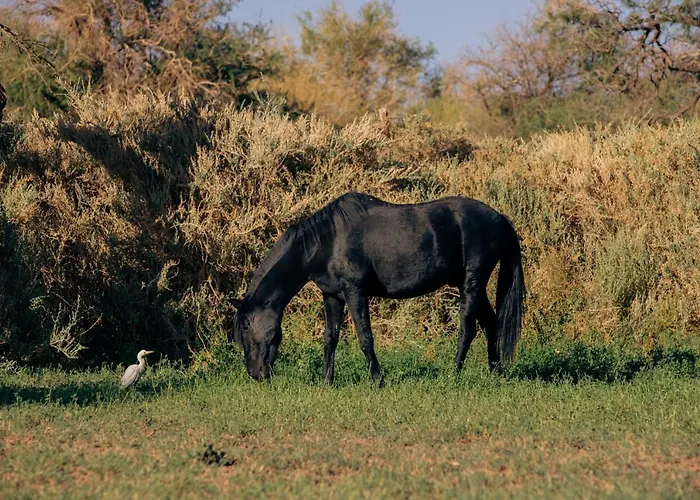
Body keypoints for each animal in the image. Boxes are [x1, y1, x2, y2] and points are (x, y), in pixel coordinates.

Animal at [231, 192, 525, 383]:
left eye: (245, 326)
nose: (254, 373)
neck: (327, 241)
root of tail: (499, 218)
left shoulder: (354, 291)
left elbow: (365, 336)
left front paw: (376, 379)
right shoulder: (332, 295)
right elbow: (330, 338)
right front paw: (327, 381)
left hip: (471, 284)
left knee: (468, 329)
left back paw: (455, 374)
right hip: (474, 286)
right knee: (491, 324)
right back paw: (496, 373)